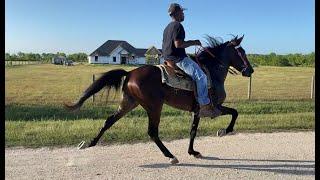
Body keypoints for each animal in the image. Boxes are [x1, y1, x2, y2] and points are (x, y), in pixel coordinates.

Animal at [64, 34, 255, 165]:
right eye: (241, 52)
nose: (250, 70)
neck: (212, 72)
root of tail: (130, 73)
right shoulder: (214, 106)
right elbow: (234, 113)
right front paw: (224, 131)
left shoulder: (197, 111)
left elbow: (193, 131)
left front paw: (193, 152)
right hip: (154, 107)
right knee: (152, 132)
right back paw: (170, 156)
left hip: (128, 103)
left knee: (109, 121)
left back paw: (91, 143)